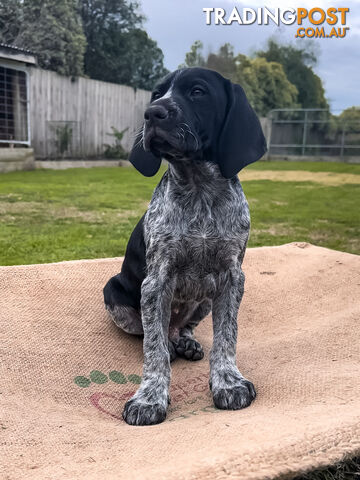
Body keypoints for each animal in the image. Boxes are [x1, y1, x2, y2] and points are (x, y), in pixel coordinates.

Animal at [102, 66, 266, 424]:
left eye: (198, 92)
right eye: (156, 94)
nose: (152, 113)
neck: (199, 189)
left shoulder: (232, 278)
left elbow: (226, 337)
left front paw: (228, 381)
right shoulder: (156, 280)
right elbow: (154, 350)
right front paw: (149, 398)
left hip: (204, 300)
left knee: (182, 329)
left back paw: (185, 342)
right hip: (114, 292)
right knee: (152, 333)